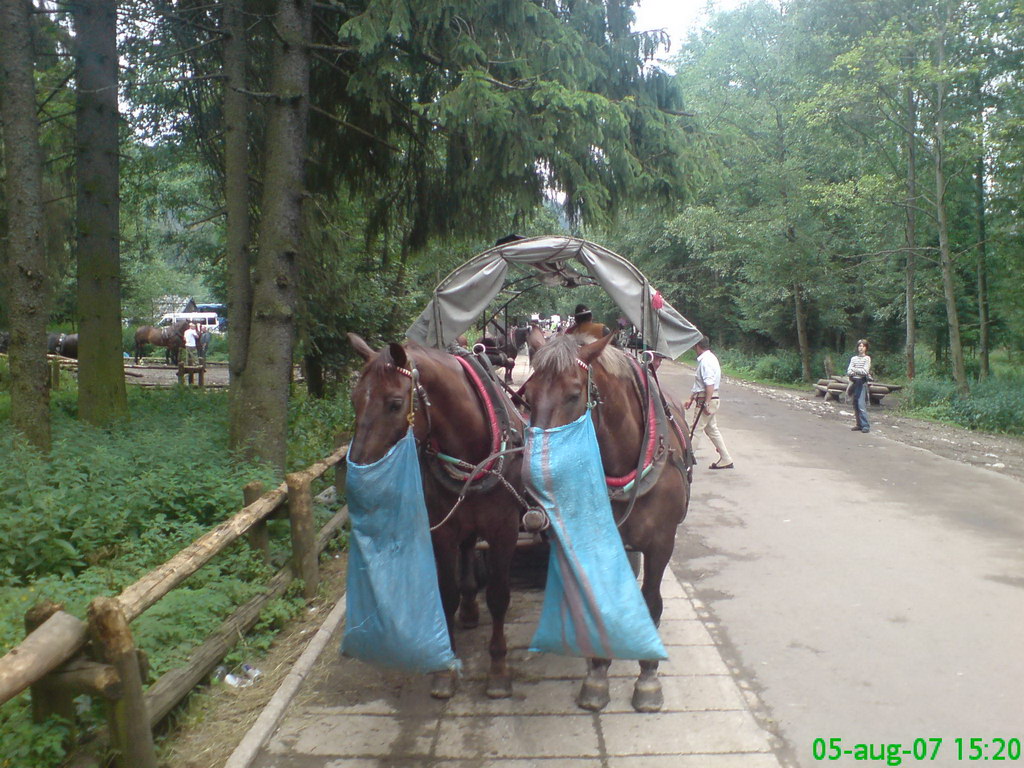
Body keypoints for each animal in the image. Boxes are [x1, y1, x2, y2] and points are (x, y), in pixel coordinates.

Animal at [350, 331, 528, 704]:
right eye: (354, 399)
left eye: (394, 403)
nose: (357, 470)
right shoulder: (443, 530)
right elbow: (446, 592)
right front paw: (446, 669)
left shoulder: (504, 529)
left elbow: (499, 597)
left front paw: (498, 669)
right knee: (467, 549)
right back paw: (469, 608)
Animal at [524, 335, 692, 716]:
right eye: (526, 396)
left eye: (574, 395)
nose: (534, 473)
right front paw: (598, 673)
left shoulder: (662, 545)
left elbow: (652, 601)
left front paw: (648, 676)